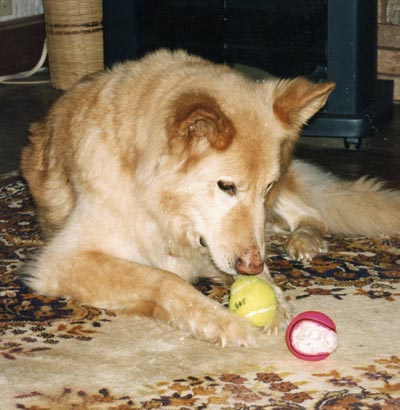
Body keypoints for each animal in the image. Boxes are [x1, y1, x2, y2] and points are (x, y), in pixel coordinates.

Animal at [19, 50, 400, 346]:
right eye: (226, 186)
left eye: (266, 187)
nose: (252, 264)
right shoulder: (63, 260)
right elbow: (162, 279)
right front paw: (221, 320)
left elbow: (251, 269)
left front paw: (272, 296)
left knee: (311, 213)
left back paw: (303, 240)